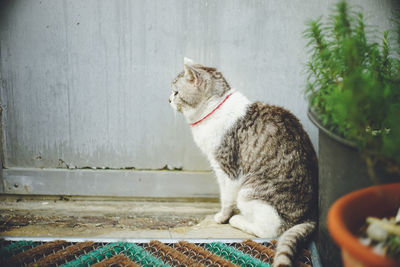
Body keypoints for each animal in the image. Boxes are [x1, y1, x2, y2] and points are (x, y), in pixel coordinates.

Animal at [167, 58, 318, 267]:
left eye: (176, 92)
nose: (168, 100)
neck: (214, 110)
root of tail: (310, 214)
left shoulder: (227, 169)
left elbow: (226, 199)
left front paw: (222, 217)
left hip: (248, 191)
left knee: (270, 229)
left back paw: (238, 220)